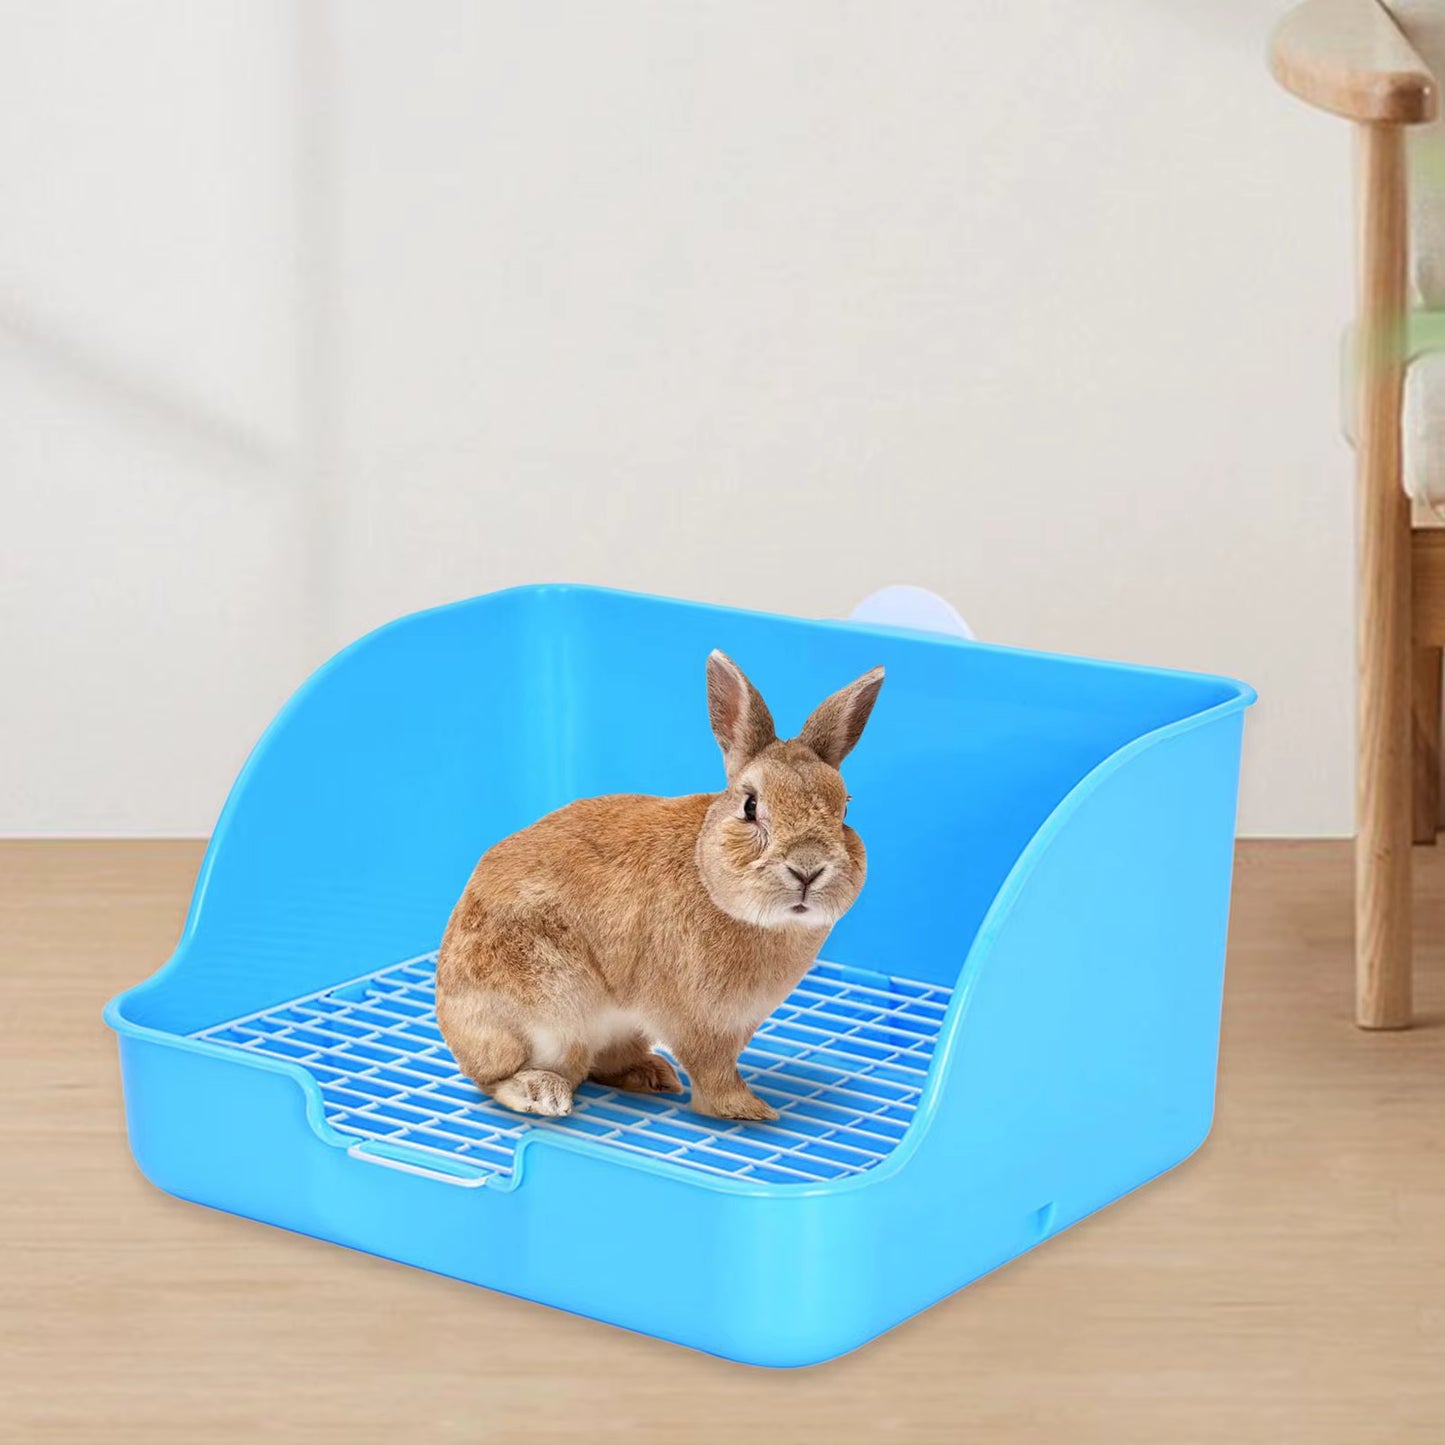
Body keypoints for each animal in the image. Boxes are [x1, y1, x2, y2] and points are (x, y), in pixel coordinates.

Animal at [435, 649, 884, 1122]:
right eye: (750, 806)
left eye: (845, 809)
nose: (808, 869)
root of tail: (448, 1021)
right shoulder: (699, 1023)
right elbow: (713, 1071)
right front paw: (749, 1110)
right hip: (551, 1017)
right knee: (498, 1077)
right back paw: (543, 1094)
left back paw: (652, 1075)